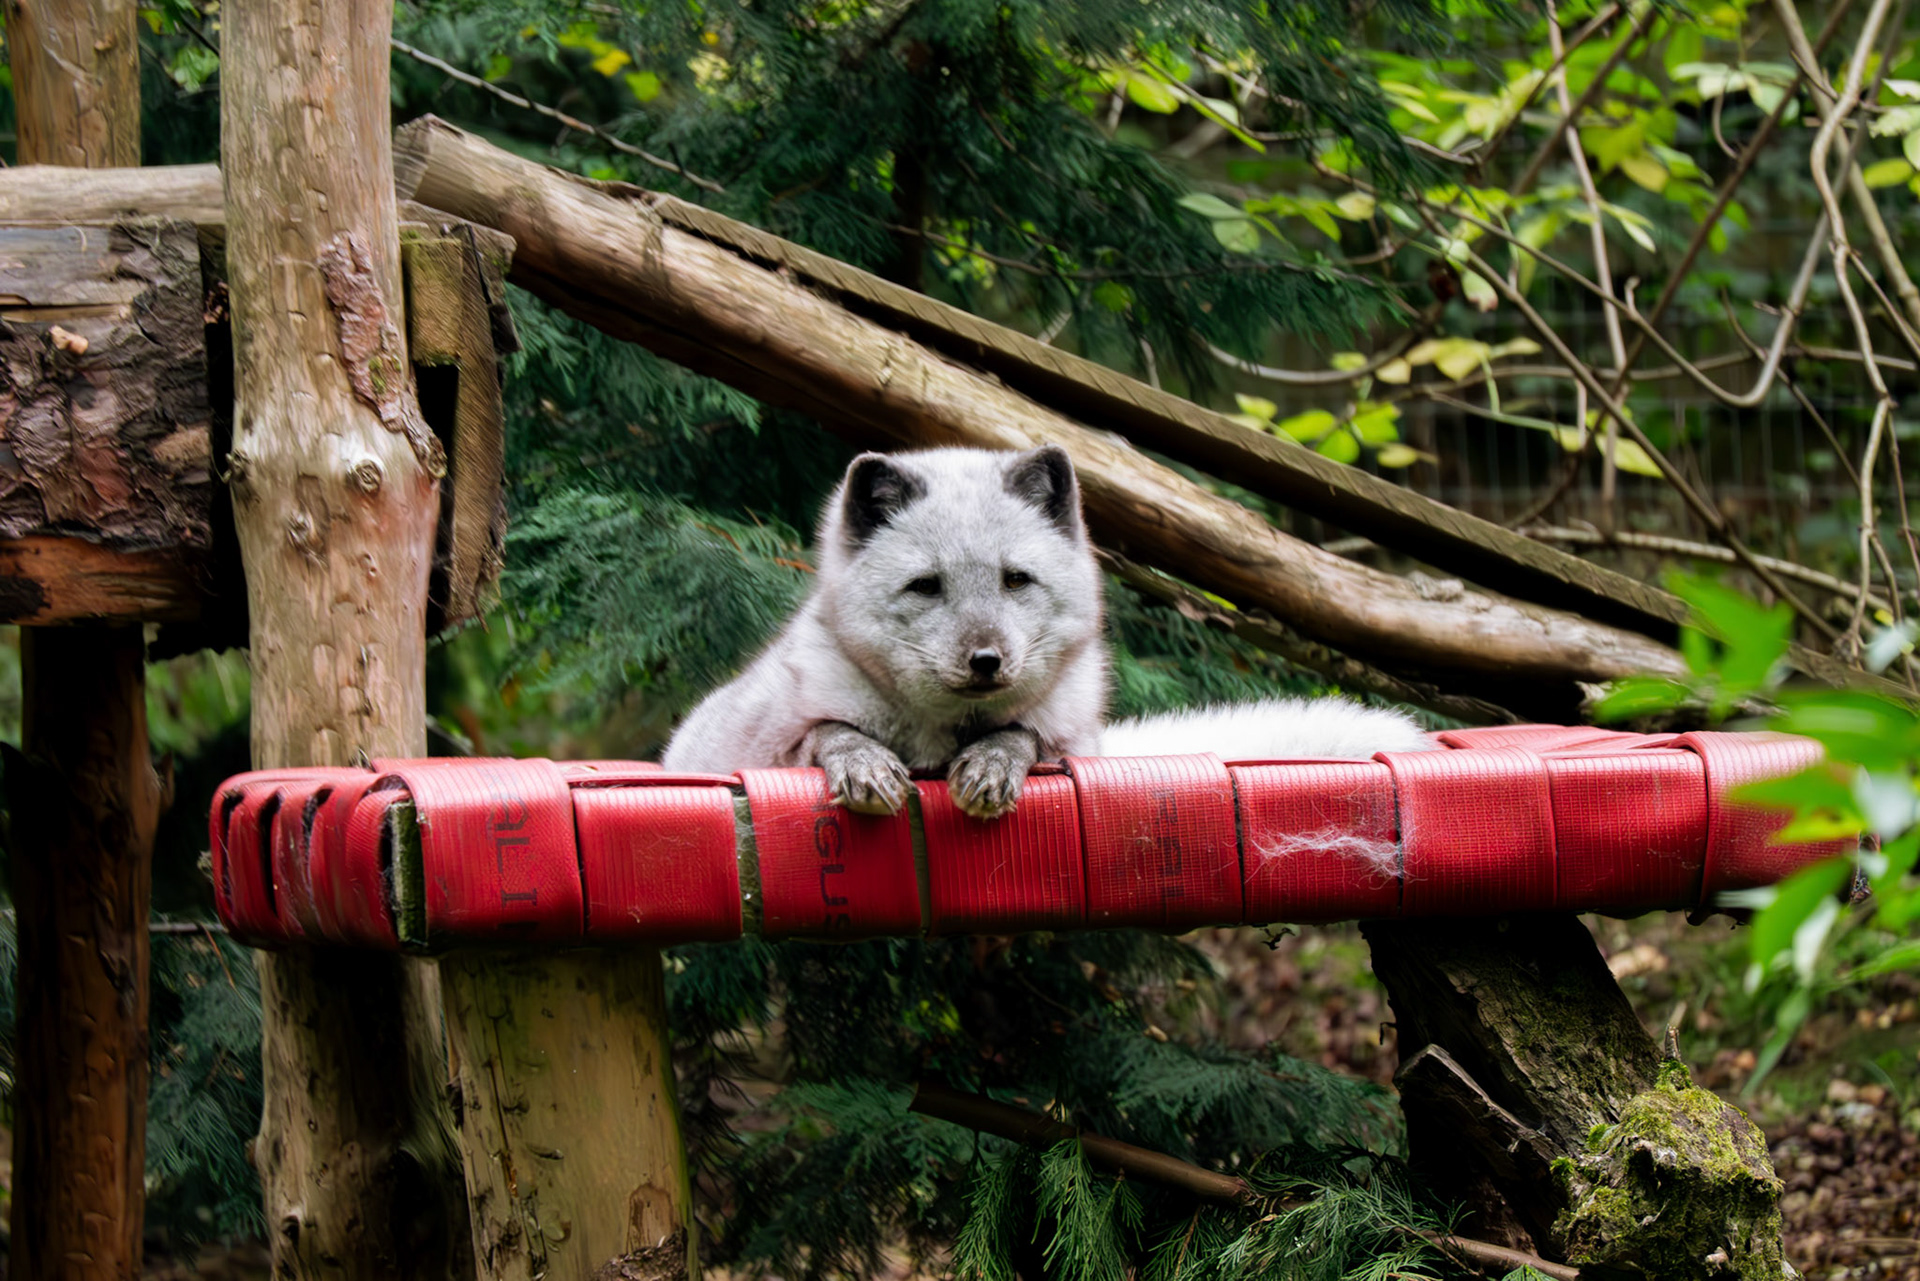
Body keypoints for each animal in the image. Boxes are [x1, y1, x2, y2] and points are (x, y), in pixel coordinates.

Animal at [661, 445, 1434, 818]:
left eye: (1014, 579)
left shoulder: (1072, 740)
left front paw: (993, 763)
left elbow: (1026, 736)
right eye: (926, 585)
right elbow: (830, 731)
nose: (985, 660)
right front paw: (866, 763)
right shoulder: (751, 747)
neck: (943, 736)